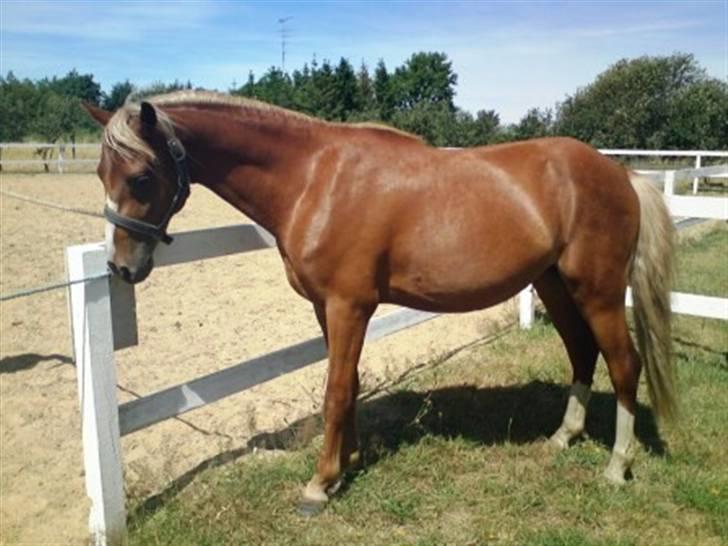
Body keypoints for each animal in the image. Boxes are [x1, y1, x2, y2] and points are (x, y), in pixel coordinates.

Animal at [83, 91, 676, 515]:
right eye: (100, 174)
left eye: (141, 176)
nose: (120, 267)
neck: (315, 178)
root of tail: (620, 172)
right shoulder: (327, 307)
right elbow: (348, 385)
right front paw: (347, 462)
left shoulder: (349, 305)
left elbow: (336, 389)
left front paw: (319, 483)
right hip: (554, 284)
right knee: (581, 353)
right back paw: (562, 437)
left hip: (597, 290)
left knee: (624, 365)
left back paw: (616, 467)